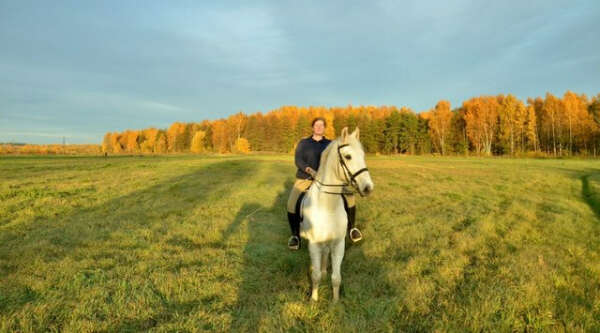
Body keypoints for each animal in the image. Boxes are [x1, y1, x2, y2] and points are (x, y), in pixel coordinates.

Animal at [300, 125, 376, 300]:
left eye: (363, 155)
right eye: (348, 156)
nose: (368, 188)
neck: (327, 206)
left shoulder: (338, 244)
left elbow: (336, 278)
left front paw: (335, 301)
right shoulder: (314, 244)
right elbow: (315, 276)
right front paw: (313, 299)